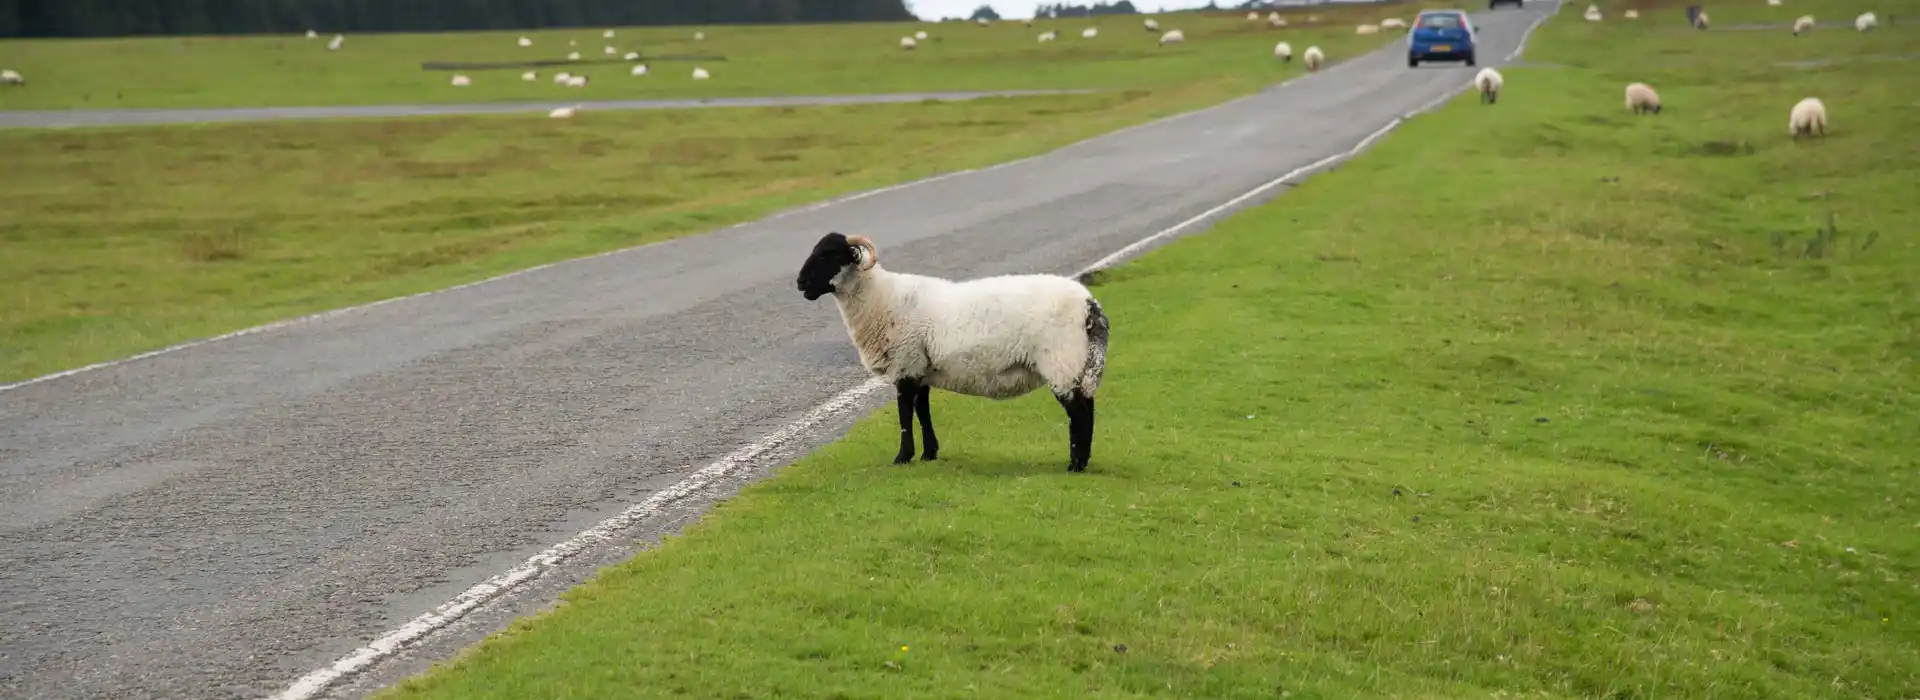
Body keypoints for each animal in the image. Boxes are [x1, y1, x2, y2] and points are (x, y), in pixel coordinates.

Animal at [791, 232, 1113, 471]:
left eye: (830, 254)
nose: (800, 283)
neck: (880, 299)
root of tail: (1090, 305)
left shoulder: (905, 363)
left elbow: (904, 414)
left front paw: (902, 457)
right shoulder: (920, 367)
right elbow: (922, 411)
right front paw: (928, 454)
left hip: (1061, 361)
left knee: (1079, 414)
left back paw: (1075, 465)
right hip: (1076, 363)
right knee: (1088, 408)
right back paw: (1082, 461)